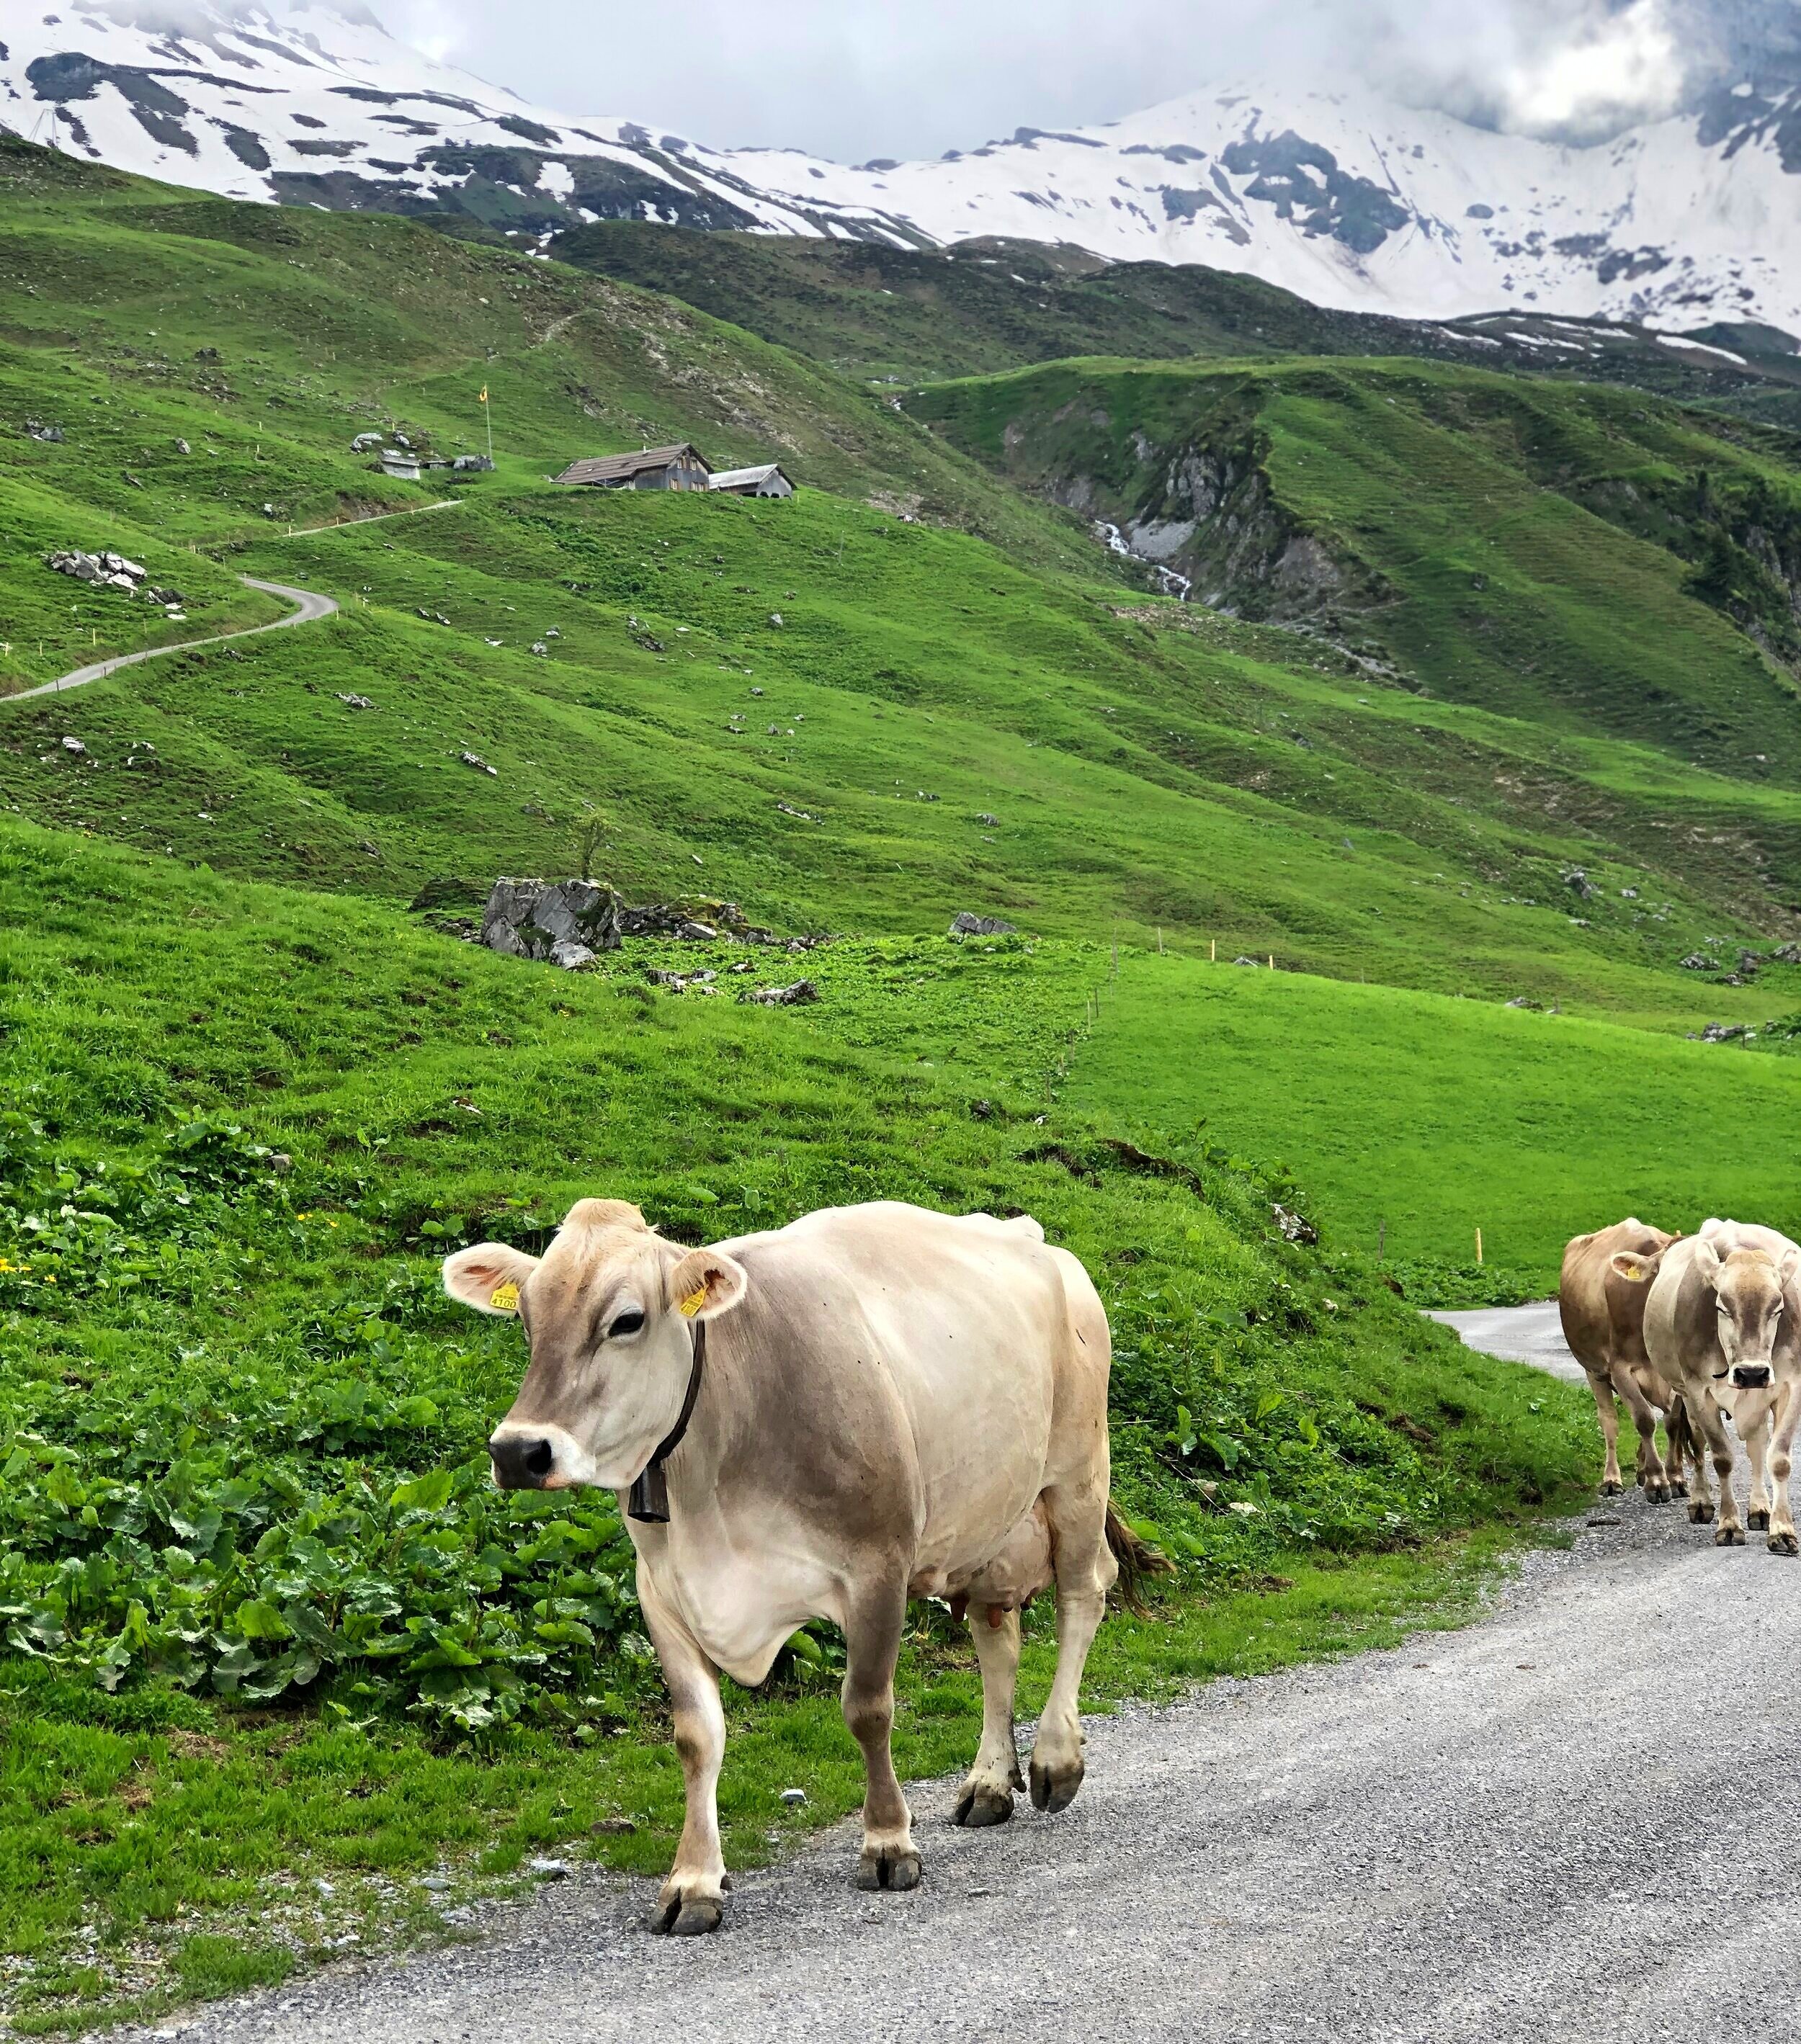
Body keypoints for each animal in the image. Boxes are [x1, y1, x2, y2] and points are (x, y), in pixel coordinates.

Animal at [443, 1193, 1161, 1929]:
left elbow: (868, 1709)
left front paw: (888, 1842)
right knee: (998, 1637)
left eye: (628, 1320)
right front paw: (693, 1880)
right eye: (526, 1318)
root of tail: (1033, 1237)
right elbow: (696, 1735)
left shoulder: (877, 1567)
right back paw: (989, 1782)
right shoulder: (662, 1591)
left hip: (1077, 1473)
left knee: (1082, 1597)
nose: (518, 1451)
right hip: (989, 1521)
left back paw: (1055, 1760)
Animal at [1553, 1218, 1692, 1512]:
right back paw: (1612, 1480)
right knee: (1610, 1420)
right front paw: (1657, 1482)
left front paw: (1675, 1478)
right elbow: (1644, 1419)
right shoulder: (1620, 1369)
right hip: (1594, 1370)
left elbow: (1673, 1422)